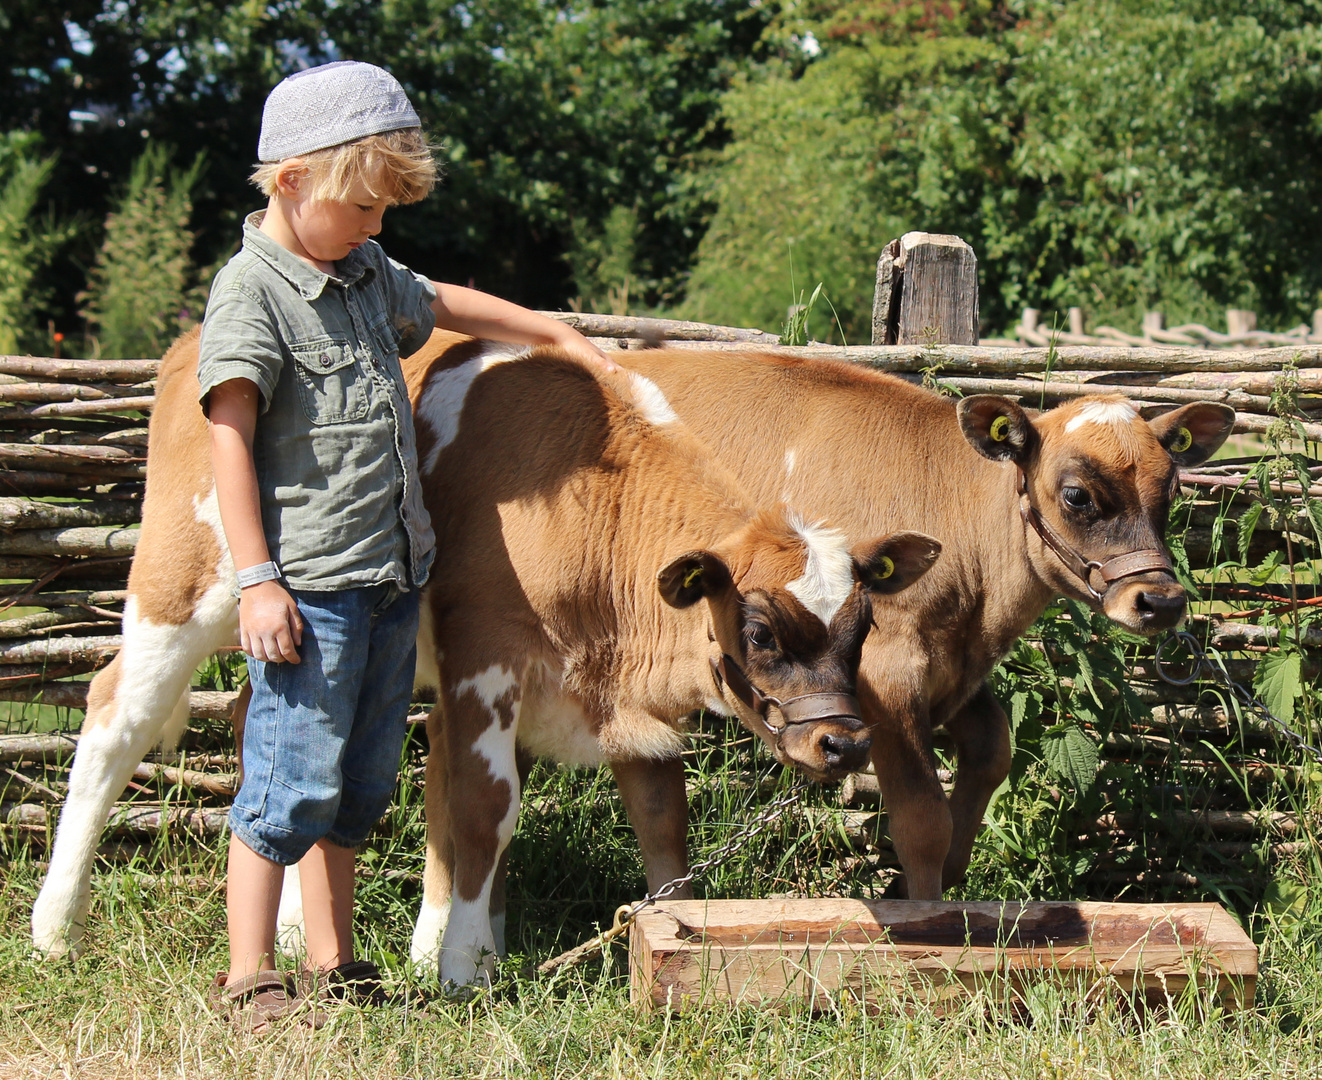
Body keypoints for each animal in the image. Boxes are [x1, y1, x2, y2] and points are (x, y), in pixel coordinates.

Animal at [401, 338, 941, 983]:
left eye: (863, 627)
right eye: (759, 633)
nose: (847, 745)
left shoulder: (632, 706)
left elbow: (662, 824)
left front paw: (678, 941)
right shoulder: (485, 659)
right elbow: (486, 808)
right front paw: (465, 964)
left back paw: (434, 943)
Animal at [605, 346, 1232, 904]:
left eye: (1171, 490)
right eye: (1077, 495)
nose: (1161, 602)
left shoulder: (953, 670)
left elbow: (991, 752)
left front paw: (910, 886)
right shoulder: (888, 672)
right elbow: (923, 818)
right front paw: (927, 917)